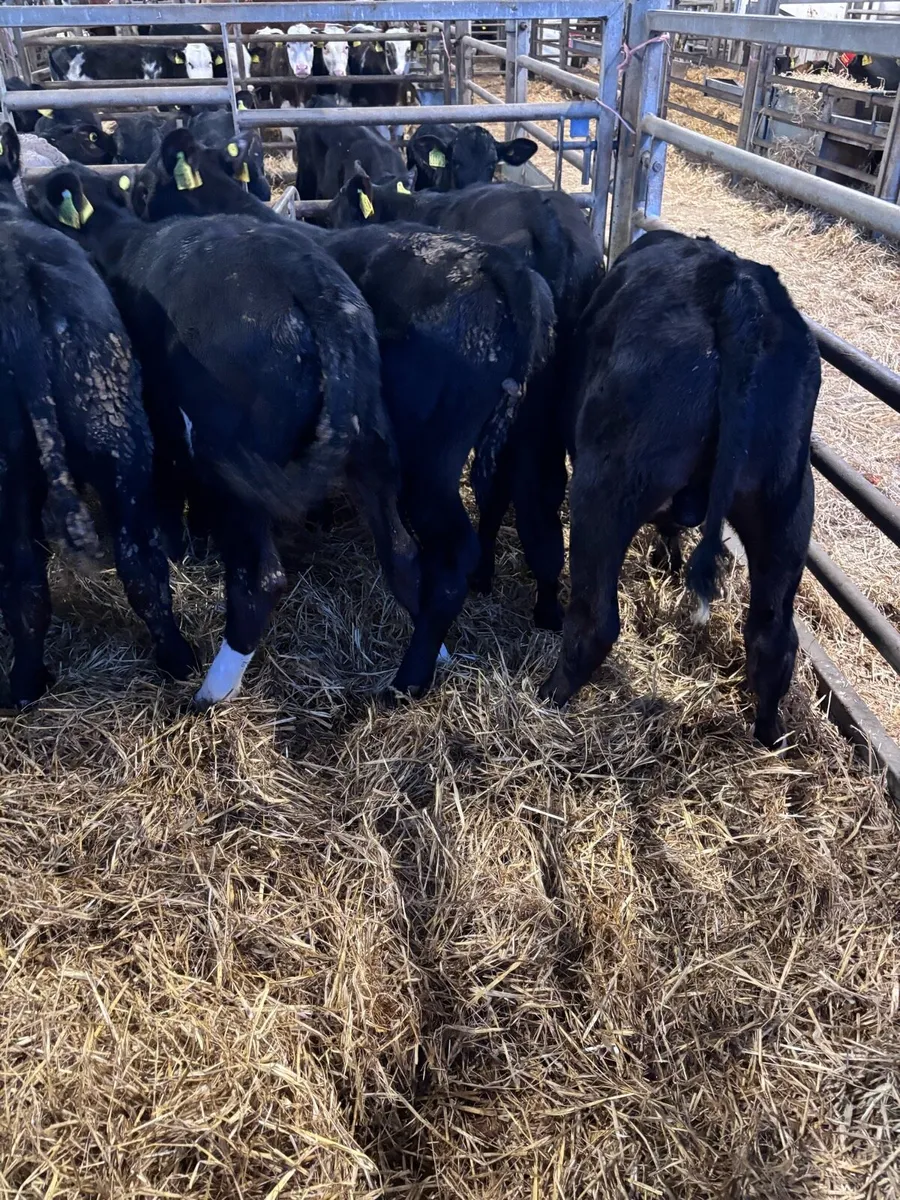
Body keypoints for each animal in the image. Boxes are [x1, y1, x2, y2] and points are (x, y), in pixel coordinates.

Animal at [28, 160, 418, 707]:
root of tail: (312, 284)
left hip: (243, 473)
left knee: (260, 581)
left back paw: (208, 694)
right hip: (371, 446)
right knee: (401, 552)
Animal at [538, 230, 819, 748]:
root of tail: (737, 293)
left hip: (607, 485)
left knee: (594, 619)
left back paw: (548, 697)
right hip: (787, 504)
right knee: (773, 639)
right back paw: (771, 738)